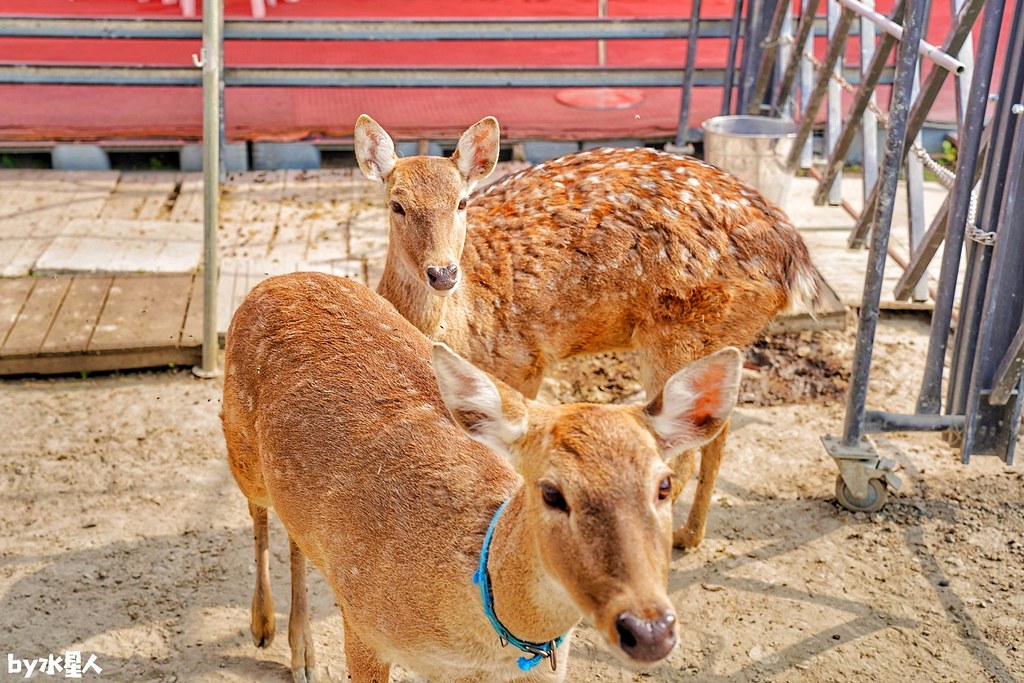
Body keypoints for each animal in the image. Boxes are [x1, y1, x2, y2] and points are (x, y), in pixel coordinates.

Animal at [222, 272, 745, 683]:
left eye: (663, 486)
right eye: (551, 492)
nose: (649, 629)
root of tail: (272, 281)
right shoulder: (363, 626)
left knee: (294, 533)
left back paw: (301, 652)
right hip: (240, 444)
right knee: (258, 512)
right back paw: (268, 630)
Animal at [356, 113, 827, 548]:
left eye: (461, 202)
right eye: (396, 205)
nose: (442, 273)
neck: (462, 326)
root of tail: (796, 261)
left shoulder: (527, 360)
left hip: (681, 331)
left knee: (682, 457)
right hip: (725, 334)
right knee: (716, 435)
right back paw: (690, 536)